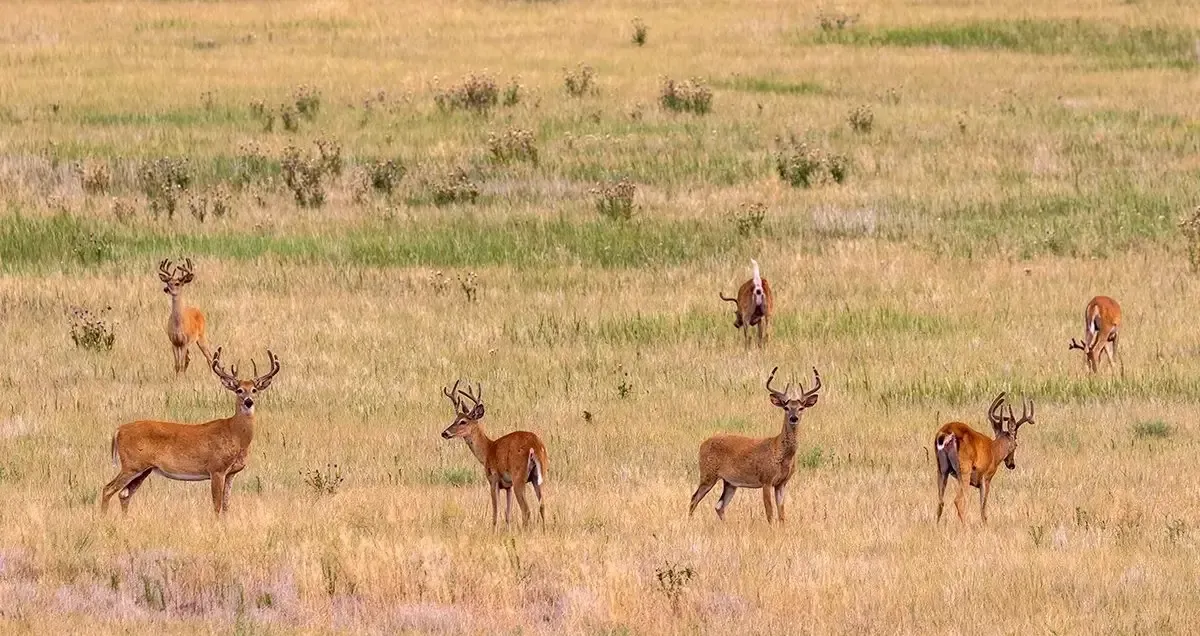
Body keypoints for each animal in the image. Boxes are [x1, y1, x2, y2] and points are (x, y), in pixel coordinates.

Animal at [100, 347, 280, 516]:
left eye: (255, 390)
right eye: (239, 390)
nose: (248, 402)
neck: (235, 434)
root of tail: (118, 430)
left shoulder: (231, 473)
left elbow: (226, 506)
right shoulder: (216, 468)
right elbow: (217, 505)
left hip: (144, 469)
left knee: (124, 494)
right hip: (131, 464)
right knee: (108, 489)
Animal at [439, 380, 548, 528]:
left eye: (463, 422)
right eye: (455, 419)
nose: (445, 433)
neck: (487, 450)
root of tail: (534, 446)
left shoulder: (493, 479)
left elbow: (495, 512)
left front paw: (494, 529)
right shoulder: (508, 486)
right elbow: (507, 514)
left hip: (519, 475)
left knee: (526, 510)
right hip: (538, 477)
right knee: (542, 506)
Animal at [688, 366, 821, 523]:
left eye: (801, 408)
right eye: (786, 407)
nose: (793, 418)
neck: (780, 451)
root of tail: (702, 444)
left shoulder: (782, 483)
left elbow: (782, 514)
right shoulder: (766, 479)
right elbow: (770, 513)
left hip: (730, 483)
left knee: (719, 505)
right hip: (707, 474)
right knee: (694, 498)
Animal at [933, 392, 1034, 524]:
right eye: (1016, 444)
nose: (1012, 465)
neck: (994, 451)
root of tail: (946, 433)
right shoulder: (986, 477)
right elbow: (983, 507)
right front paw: (985, 525)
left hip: (941, 468)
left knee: (940, 501)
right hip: (964, 468)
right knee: (958, 500)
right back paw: (965, 526)